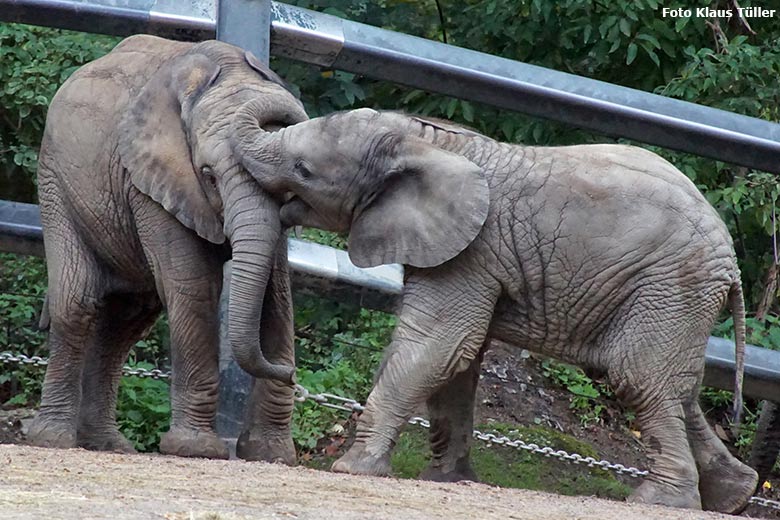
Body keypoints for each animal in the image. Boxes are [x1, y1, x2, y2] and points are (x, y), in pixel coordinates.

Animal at [25, 34, 304, 462]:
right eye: (208, 175)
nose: (295, 377)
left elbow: (278, 297)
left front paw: (270, 455)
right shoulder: (151, 184)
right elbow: (194, 286)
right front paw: (196, 449)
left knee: (125, 322)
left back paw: (109, 445)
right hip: (56, 183)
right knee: (77, 302)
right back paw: (53, 439)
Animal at [229, 105, 760, 512]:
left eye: (304, 170)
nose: (289, 372)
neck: (423, 139)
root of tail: (731, 262)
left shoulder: (472, 251)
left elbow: (439, 345)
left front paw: (354, 468)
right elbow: (459, 360)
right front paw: (446, 480)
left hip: (669, 285)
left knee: (636, 377)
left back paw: (659, 501)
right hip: (675, 298)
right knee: (676, 391)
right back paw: (733, 497)